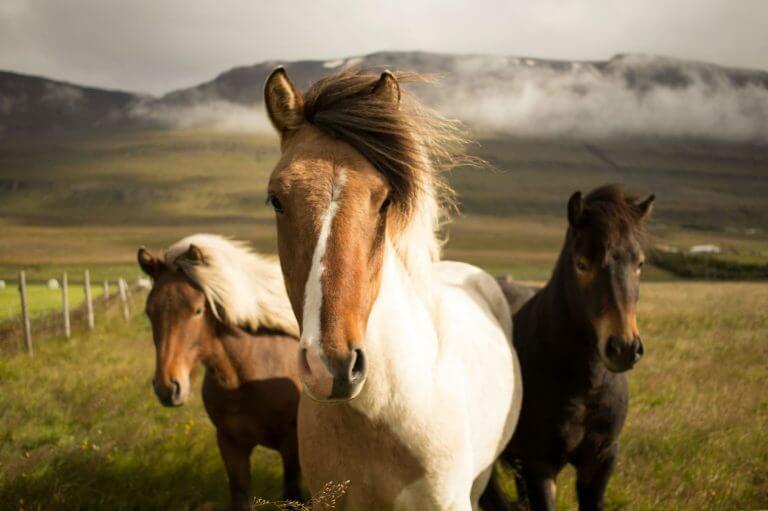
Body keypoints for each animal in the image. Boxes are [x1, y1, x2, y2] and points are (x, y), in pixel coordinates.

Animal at [137, 234, 303, 510]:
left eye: (197, 310)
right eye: (149, 311)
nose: (167, 388)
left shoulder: (291, 446)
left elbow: (294, 496)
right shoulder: (230, 445)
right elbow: (240, 496)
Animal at [483, 185, 654, 511]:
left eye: (639, 263)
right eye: (582, 264)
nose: (624, 348)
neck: (585, 385)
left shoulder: (600, 461)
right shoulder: (539, 466)